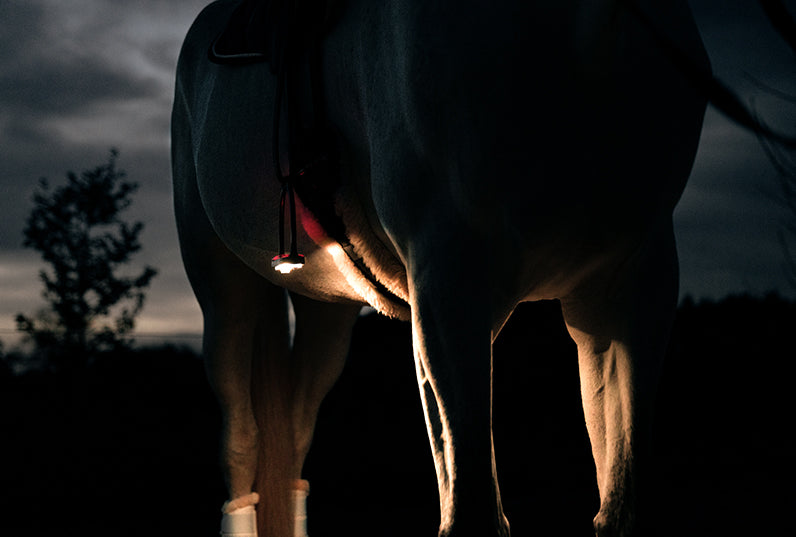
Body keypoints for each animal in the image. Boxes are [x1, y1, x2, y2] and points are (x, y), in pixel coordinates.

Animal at [171, 1, 709, 535]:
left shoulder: (628, 294)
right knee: (241, 440)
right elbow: (471, 509)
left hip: (328, 313)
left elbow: (620, 503)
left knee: (294, 440)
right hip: (226, 296)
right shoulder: (450, 287)